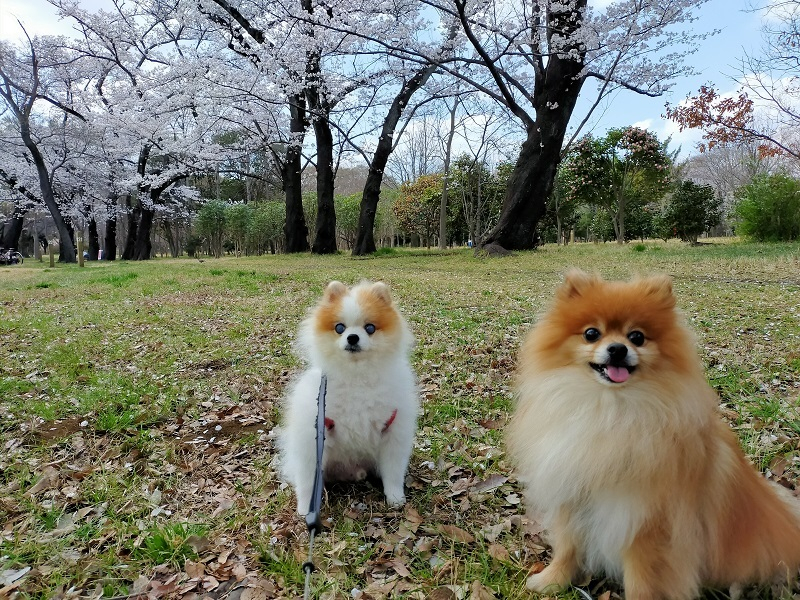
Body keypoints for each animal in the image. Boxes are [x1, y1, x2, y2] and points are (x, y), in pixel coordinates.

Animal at [278, 282, 418, 516]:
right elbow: (307, 481)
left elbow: (393, 471)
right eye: (339, 328)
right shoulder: (313, 436)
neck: (357, 377)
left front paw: (395, 498)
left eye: (369, 328)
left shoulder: (393, 431)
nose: (352, 337)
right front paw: (306, 508)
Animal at [510, 272, 796, 600]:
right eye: (591, 333)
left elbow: (643, 580)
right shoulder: (573, 495)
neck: (610, 412)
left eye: (637, 337)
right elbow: (568, 547)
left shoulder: (648, 523)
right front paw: (552, 581)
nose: (617, 349)